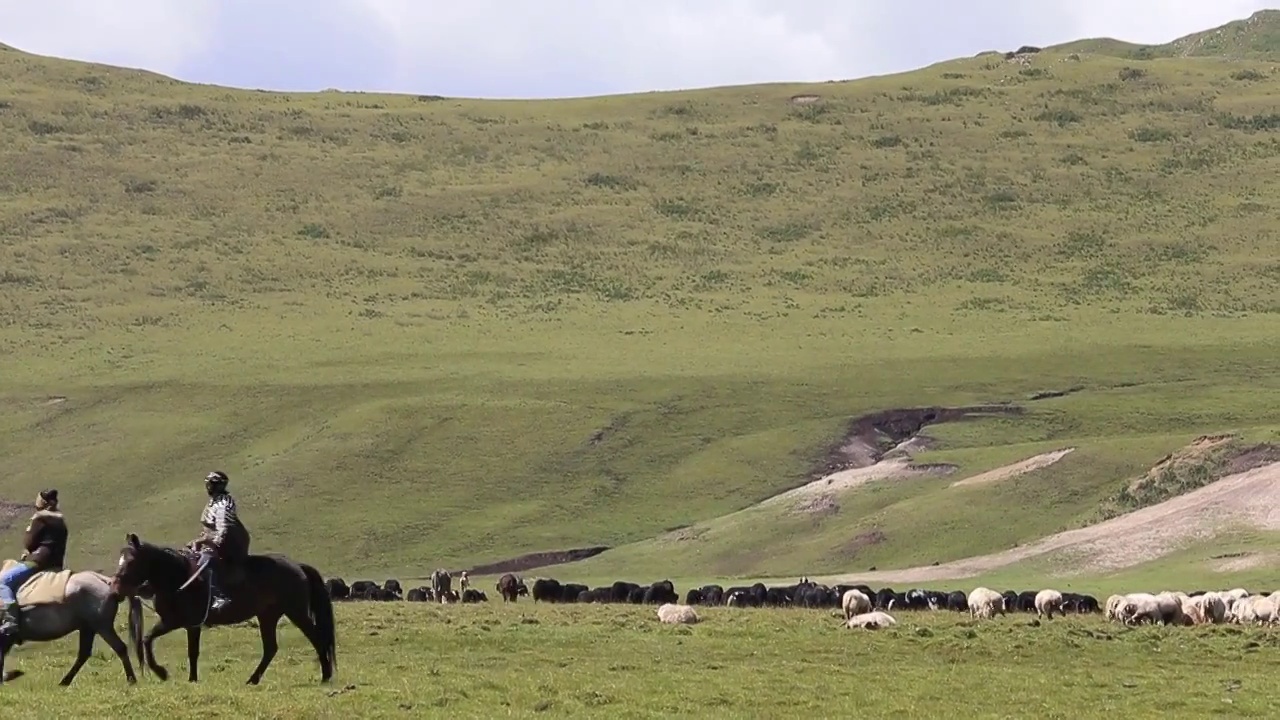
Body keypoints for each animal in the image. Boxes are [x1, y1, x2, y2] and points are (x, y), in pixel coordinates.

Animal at [0, 561, 144, 681]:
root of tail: (106, 581)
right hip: (88, 628)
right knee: (84, 654)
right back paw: (65, 682)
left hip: (102, 627)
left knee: (120, 647)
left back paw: (131, 680)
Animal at [110, 532, 337, 681]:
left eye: (131, 561)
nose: (115, 589)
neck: (178, 577)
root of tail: (298, 566)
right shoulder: (180, 623)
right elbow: (160, 643)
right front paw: (186, 678)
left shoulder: (180, 622)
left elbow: (161, 643)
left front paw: (164, 673)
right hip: (268, 616)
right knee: (271, 648)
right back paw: (252, 680)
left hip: (296, 612)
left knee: (316, 638)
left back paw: (325, 676)